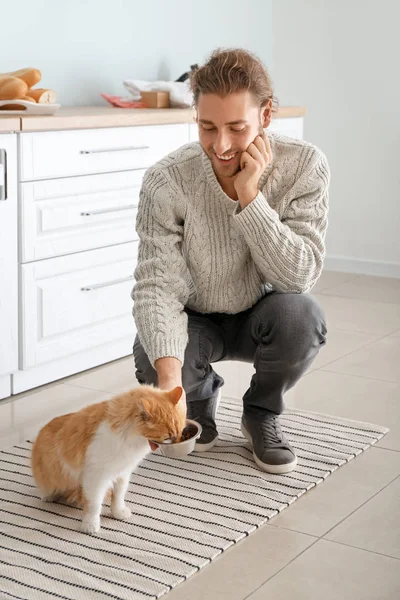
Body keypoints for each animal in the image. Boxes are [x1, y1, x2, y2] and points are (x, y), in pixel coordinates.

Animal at [30, 384, 184, 536]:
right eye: (168, 437)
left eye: (178, 432)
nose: (176, 440)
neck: (130, 440)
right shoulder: (96, 477)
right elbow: (94, 504)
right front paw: (90, 526)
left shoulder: (123, 473)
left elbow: (119, 496)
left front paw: (118, 513)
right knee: (48, 490)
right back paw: (48, 497)